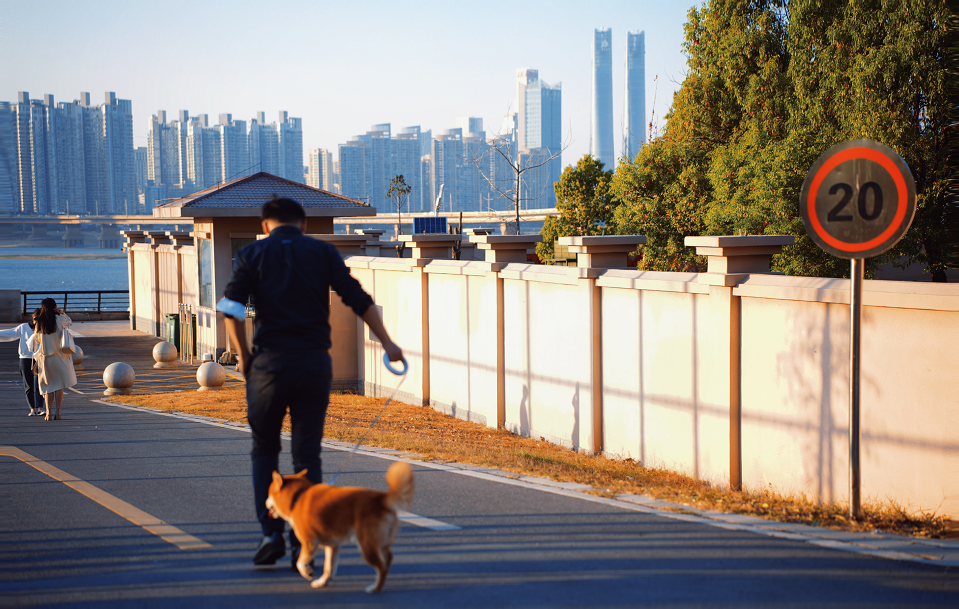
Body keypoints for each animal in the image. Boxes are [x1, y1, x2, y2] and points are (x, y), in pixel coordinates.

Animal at [264, 460, 414, 592]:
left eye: (268, 494)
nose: (265, 502)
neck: (298, 497)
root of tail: (380, 498)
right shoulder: (333, 546)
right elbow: (329, 568)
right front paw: (323, 582)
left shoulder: (310, 543)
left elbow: (300, 563)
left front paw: (307, 572)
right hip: (380, 544)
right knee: (388, 559)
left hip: (366, 546)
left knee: (381, 568)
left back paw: (375, 588)